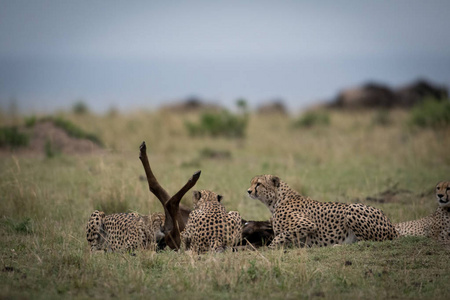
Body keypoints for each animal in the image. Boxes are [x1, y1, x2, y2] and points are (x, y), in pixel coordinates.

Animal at [246, 173, 398, 248]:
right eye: (251, 183)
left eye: (258, 184)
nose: (248, 191)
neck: (276, 200)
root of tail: (390, 224)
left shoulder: (307, 225)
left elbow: (281, 236)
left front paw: (270, 247)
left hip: (352, 208)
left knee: (372, 241)